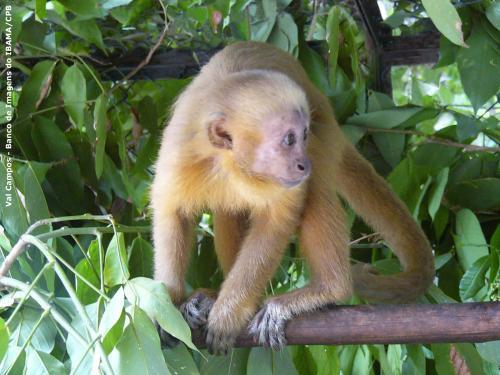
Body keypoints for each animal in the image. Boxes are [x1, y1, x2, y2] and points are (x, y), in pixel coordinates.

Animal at [150, 41, 436, 356]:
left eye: (303, 135)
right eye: (288, 139)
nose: (302, 163)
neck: (233, 163)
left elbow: (277, 221)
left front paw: (229, 312)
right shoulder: (179, 150)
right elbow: (172, 213)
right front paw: (169, 306)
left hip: (327, 142)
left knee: (316, 189)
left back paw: (329, 289)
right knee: (228, 209)